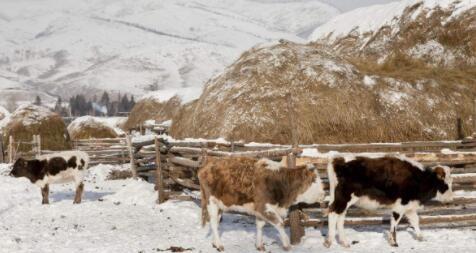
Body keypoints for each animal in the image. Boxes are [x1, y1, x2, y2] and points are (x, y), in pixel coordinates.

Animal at [196, 156, 324, 251]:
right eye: (313, 180)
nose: (323, 193)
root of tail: (207, 164)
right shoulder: (264, 207)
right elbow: (279, 223)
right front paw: (287, 245)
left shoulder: (261, 210)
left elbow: (260, 225)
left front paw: (259, 245)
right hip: (211, 202)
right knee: (213, 222)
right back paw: (219, 245)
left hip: (219, 204)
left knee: (216, 222)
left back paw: (215, 243)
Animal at [324, 154, 454, 247]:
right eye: (445, 184)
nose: (451, 199)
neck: (418, 179)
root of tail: (338, 160)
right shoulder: (400, 206)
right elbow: (395, 223)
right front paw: (394, 242)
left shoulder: (410, 207)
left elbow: (415, 221)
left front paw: (421, 237)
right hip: (344, 198)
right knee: (333, 213)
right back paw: (329, 242)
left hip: (341, 200)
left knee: (339, 216)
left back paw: (344, 242)